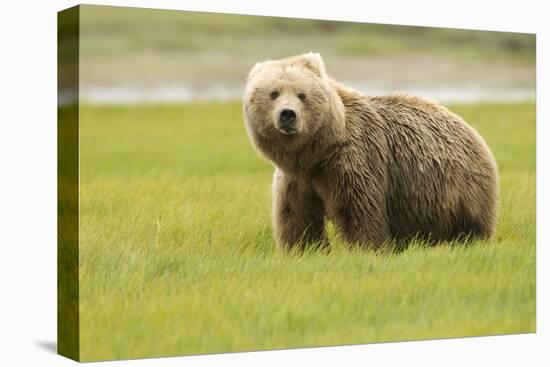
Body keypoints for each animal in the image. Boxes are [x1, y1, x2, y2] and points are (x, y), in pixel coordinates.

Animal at [242, 52, 500, 250]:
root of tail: (473, 133)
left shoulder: (355, 158)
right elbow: (296, 215)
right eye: (273, 93)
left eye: (301, 95)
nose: (288, 114)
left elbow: (359, 210)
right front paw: (302, 249)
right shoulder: (297, 178)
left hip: (459, 189)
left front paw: (365, 248)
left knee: (469, 226)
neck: (317, 152)